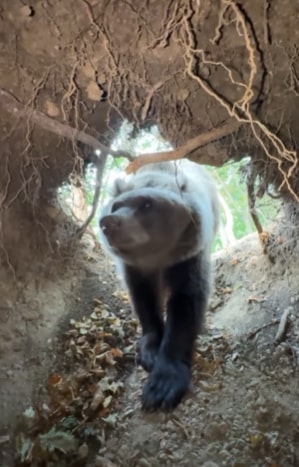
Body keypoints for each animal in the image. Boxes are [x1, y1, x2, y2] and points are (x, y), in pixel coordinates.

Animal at [98, 159, 220, 412]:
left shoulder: (188, 258)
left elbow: (185, 304)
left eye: (147, 203)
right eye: (116, 205)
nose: (109, 223)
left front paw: (162, 385)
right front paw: (150, 349)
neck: (156, 256)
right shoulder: (135, 268)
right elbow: (144, 300)